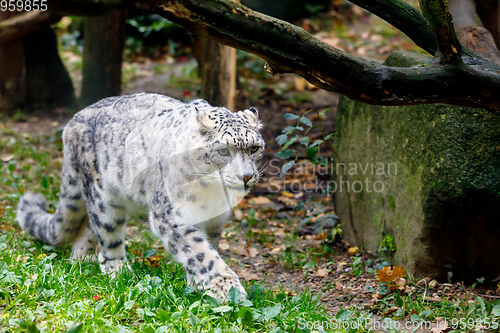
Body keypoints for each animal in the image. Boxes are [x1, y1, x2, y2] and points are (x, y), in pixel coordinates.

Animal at [16, 92, 266, 300]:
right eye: (223, 150)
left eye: (254, 148)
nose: (246, 176)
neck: (211, 194)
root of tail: (72, 122)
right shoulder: (171, 216)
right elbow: (199, 252)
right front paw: (226, 287)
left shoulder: (213, 221)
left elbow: (206, 248)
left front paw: (198, 285)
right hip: (104, 198)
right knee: (107, 232)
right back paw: (118, 270)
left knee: (87, 228)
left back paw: (82, 260)